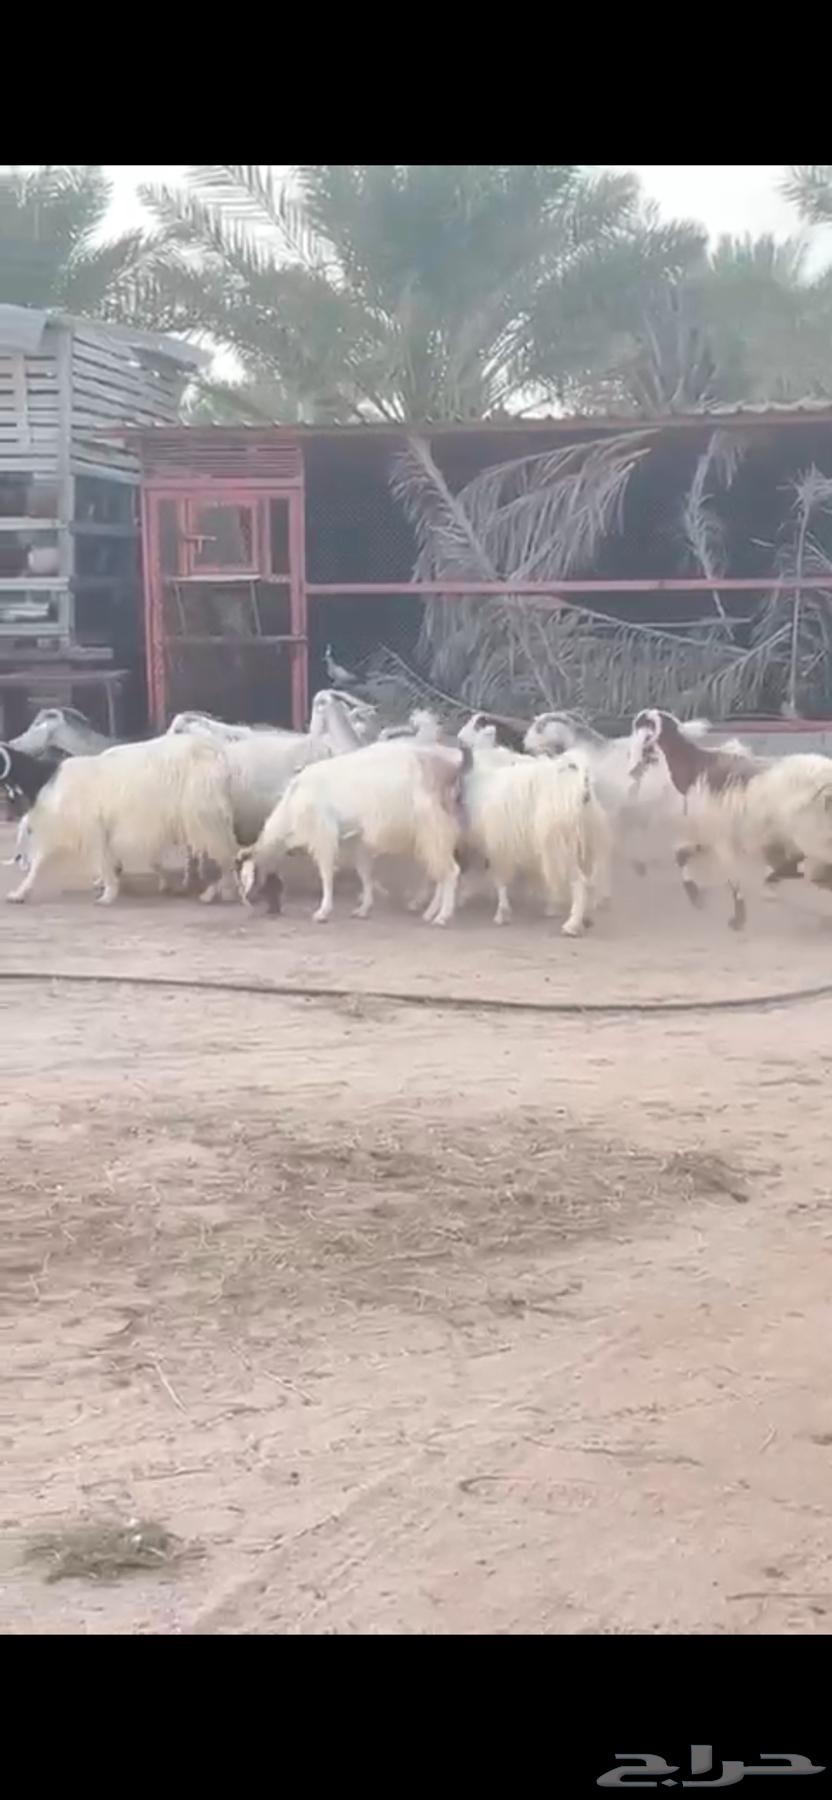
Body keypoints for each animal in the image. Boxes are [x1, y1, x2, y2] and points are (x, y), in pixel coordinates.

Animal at [6, 733, 238, 907]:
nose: (17, 858)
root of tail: (215, 751)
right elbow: (39, 866)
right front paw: (18, 894)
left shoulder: (92, 830)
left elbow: (102, 860)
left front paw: (108, 894)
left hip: (203, 817)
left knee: (226, 854)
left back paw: (215, 892)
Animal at [237, 694, 466, 926]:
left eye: (247, 876)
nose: (248, 902)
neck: (291, 806)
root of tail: (448, 768)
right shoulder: (355, 837)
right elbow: (364, 872)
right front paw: (364, 907)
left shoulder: (323, 833)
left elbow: (326, 873)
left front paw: (323, 911)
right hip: (434, 831)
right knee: (439, 870)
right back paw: (430, 911)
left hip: (433, 825)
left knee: (450, 871)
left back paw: (441, 916)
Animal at [628, 707, 832, 929]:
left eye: (644, 739)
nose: (632, 771)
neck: (694, 770)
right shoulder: (711, 836)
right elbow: (683, 855)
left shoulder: (720, 838)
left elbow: (732, 877)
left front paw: (737, 918)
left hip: (813, 838)